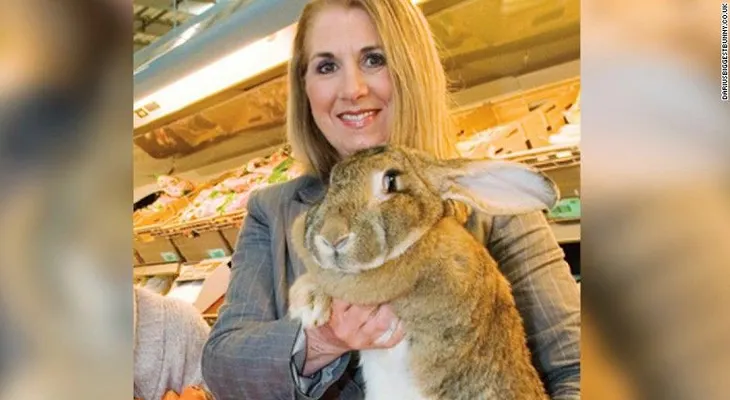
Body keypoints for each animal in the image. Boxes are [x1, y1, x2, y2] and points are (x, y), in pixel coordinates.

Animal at [288, 145, 556, 400]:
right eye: (331, 182)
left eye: (391, 181)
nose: (331, 237)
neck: (420, 239)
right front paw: (307, 303)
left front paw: (308, 306)